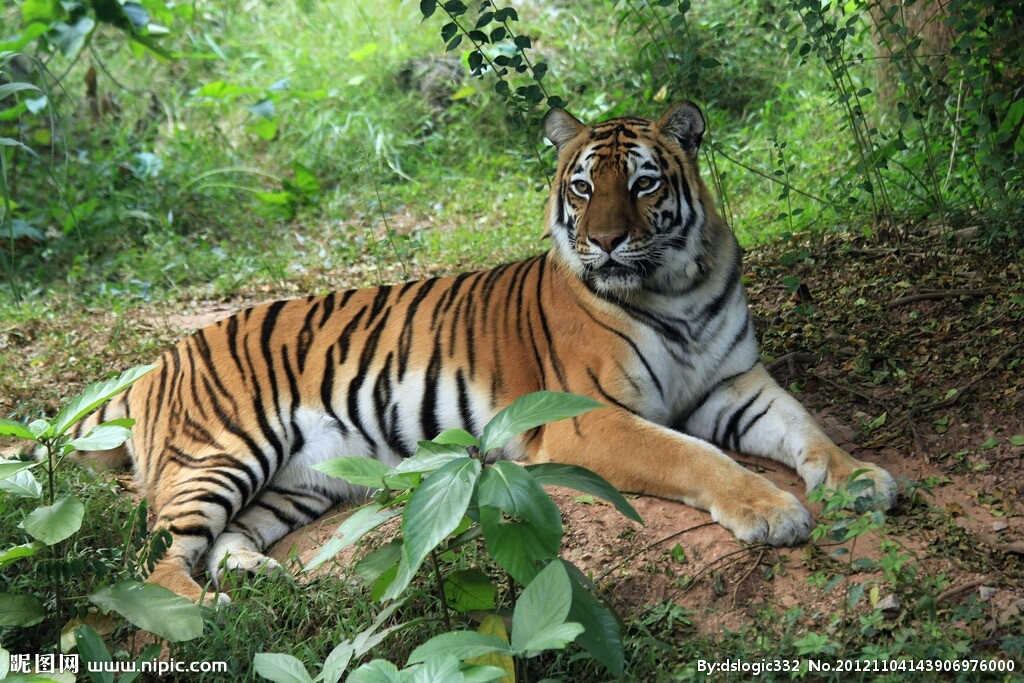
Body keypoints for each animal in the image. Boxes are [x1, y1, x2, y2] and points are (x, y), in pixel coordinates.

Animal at [75, 101, 897, 602]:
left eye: (642, 183)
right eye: (581, 186)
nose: (604, 241)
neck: (676, 287)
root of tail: (160, 360)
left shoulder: (735, 383)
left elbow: (807, 427)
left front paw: (860, 478)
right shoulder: (589, 418)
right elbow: (698, 458)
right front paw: (772, 510)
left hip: (297, 480)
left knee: (225, 539)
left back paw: (257, 577)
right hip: (221, 452)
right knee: (156, 559)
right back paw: (207, 612)